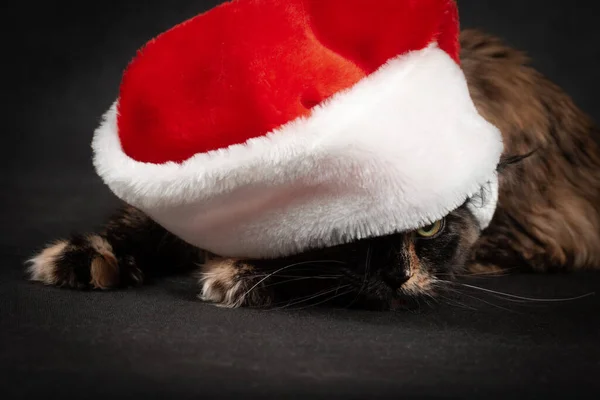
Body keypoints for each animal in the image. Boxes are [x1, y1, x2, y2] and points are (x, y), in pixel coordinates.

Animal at [25, 30, 600, 310]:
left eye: (430, 228)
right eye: (354, 225)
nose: (397, 276)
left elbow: (308, 269)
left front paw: (238, 277)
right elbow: (132, 227)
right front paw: (81, 257)